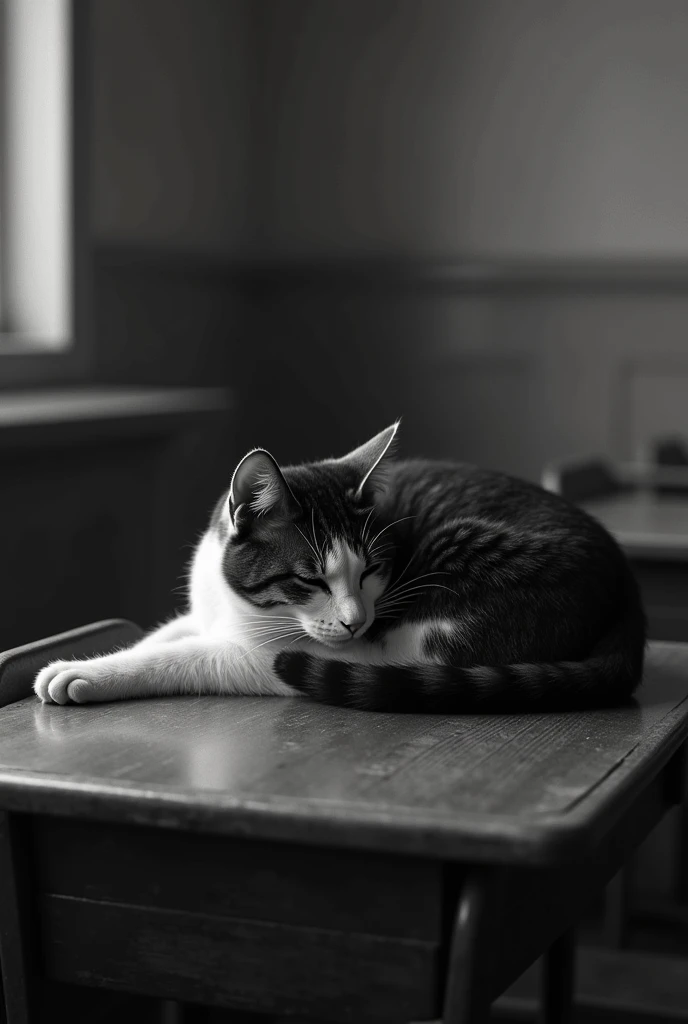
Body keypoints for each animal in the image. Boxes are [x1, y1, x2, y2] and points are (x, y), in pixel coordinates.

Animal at [33, 421, 647, 712]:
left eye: (372, 570)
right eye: (308, 579)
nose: (357, 620)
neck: (240, 609)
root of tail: (624, 578)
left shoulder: (269, 654)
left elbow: (186, 656)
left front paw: (85, 672)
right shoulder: (204, 611)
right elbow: (164, 633)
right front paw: (111, 652)